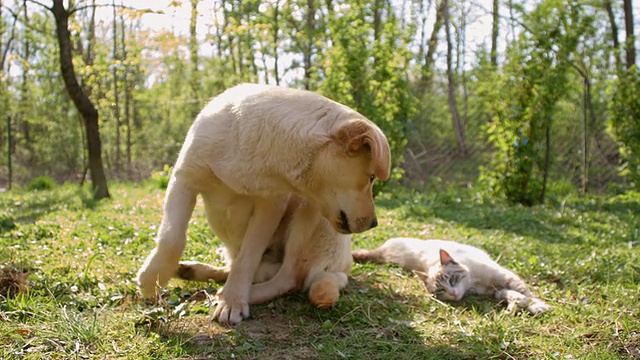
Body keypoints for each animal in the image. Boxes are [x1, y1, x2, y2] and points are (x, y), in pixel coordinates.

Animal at [135, 83, 390, 324]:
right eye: (371, 178)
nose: (374, 224)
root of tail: (344, 266)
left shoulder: (271, 206)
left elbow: (247, 258)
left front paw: (233, 301)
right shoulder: (185, 179)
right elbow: (171, 238)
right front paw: (152, 279)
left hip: (310, 213)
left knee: (288, 278)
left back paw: (236, 294)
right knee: (238, 267)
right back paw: (194, 271)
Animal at [350, 239, 552, 316]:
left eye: (452, 280)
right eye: (440, 290)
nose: (453, 294)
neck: (474, 283)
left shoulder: (504, 278)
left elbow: (525, 292)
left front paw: (537, 305)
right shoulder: (495, 290)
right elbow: (514, 295)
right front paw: (521, 305)